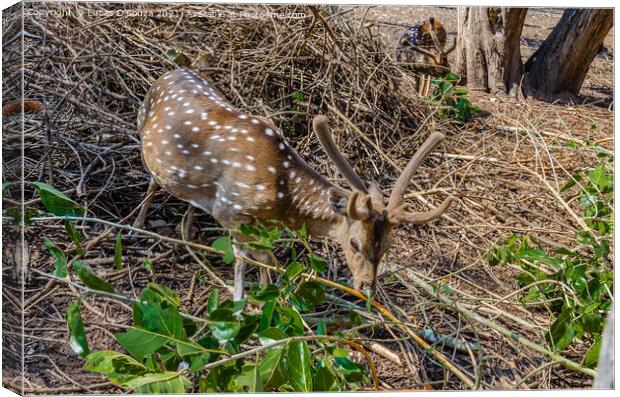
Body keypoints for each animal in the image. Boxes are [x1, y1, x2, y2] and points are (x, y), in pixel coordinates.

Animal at [138, 68, 452, 298]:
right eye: (354, 242)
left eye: (388, 245)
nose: (367, 287)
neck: (281, 196)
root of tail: (169, 72)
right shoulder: (229, 210)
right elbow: (245, 258)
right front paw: (241, 306)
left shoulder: (261, 225)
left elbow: (266, 258)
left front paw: (267, 293)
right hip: (144, 136)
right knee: (152, 182)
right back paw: (138, 225)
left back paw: (187, 232)